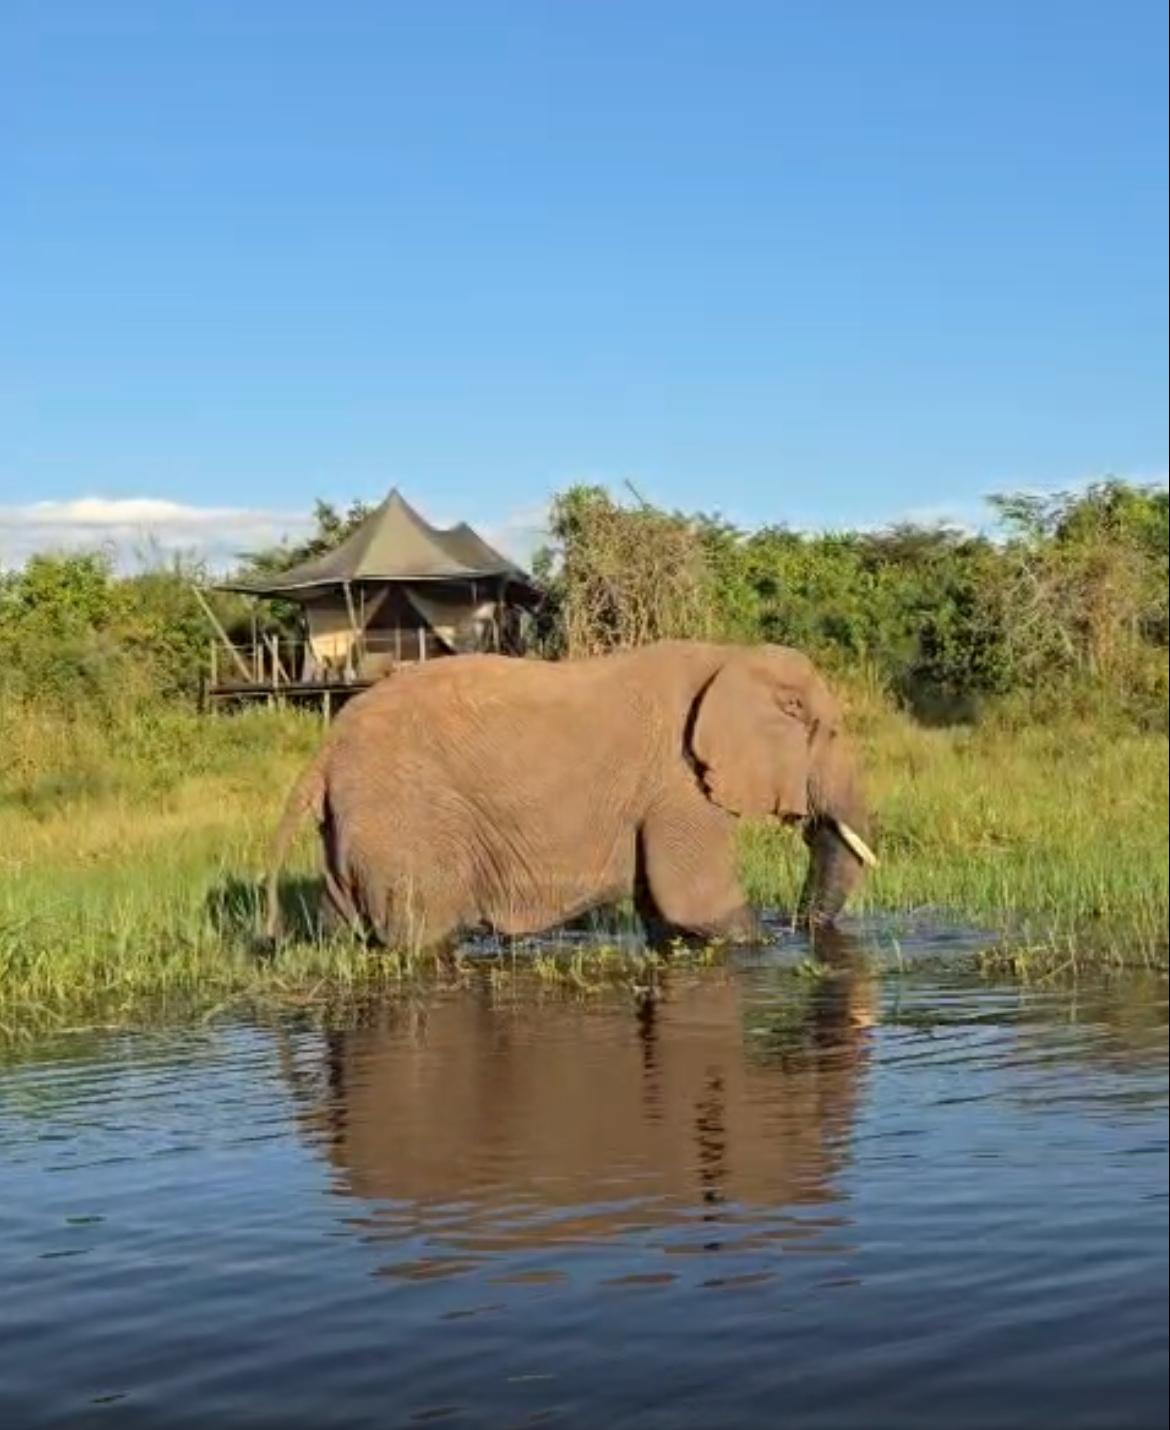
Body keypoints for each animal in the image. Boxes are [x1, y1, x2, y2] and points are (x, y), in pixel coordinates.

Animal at [262, 638, 878, 957]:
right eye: (832, 733)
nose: (801, 931)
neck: (733, 656)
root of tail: (324, 754)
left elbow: (665, 913)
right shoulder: (678, 784)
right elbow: (699, 902)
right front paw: (764, 946)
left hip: (354, 828)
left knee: (342, 930)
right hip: (405, 822)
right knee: (424, 936)